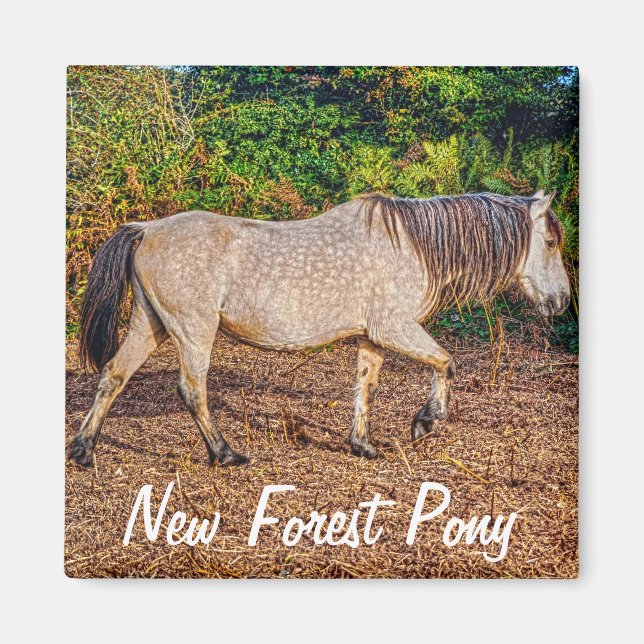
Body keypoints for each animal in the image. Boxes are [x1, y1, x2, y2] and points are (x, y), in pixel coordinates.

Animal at [66, 190, 570, 467]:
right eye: (549, 241)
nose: (562, 302)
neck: (412, 246)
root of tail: (146, 229)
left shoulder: (372, 336)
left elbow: (365, 387)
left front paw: (362, 445)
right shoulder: (395, 327)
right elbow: (446, 364)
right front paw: (425, 422)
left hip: (150, 324)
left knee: (113, 375)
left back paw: (84, 450)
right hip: (194, 331)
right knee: (192, 391)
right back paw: (225, 454)